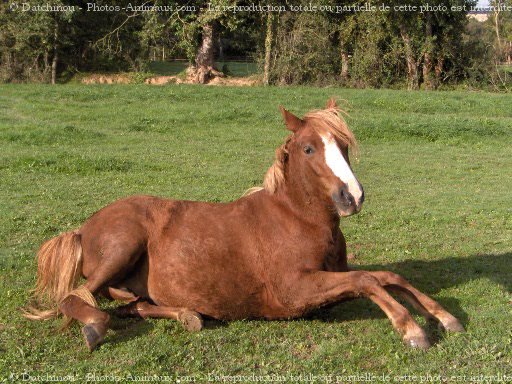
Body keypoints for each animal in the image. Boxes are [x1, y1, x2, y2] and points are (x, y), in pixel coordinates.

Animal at [25, 99, 464, 352]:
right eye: (309, 148)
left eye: (344, 145)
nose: (352, 197)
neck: (293, 219)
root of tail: (82, 229)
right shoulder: (293, 291)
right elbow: (368, 280)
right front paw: (412, 331)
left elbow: (387, 276)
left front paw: (445, 317)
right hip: (122, 246)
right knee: (77, 298)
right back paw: (95, 327)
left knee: (132, 304)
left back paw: (188, 316)